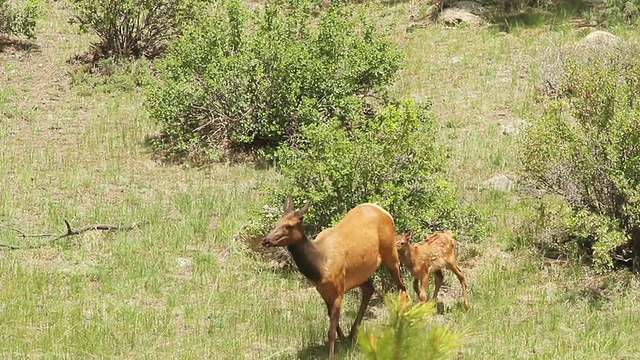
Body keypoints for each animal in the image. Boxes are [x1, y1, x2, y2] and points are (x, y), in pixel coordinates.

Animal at [262, 197, 404, 360]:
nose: (266, 240)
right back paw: (352, 333)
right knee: (369, 289)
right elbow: (332, 321)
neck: (319, 268)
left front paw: (333, 354)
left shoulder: (338, 290)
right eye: (276, 223)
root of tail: (384, 212)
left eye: (289, 226)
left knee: (401, 285)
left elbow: (330, 330)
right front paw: (342, 341)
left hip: (390, 252)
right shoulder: (324, 291)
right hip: (362, 271)